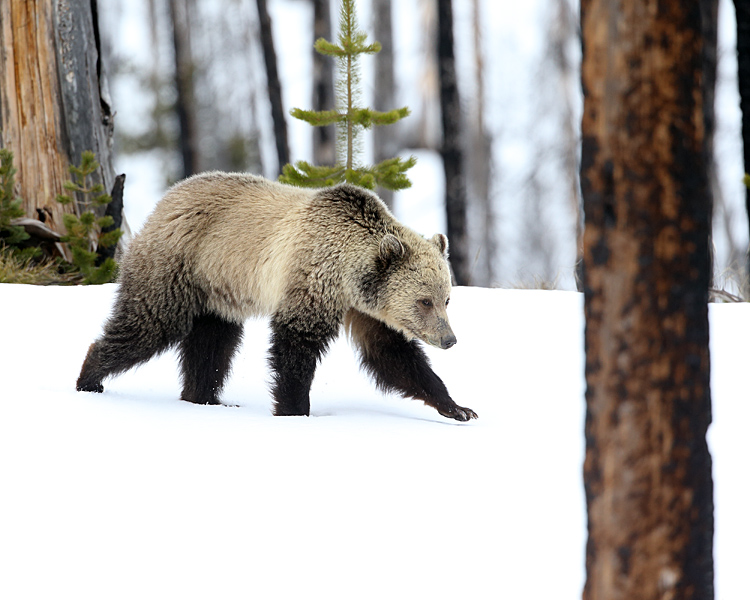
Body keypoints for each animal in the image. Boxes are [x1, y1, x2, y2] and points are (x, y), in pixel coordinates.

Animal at [76, 172, 476, 422]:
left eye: (446, 299)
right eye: (424, 300)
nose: (449, 339)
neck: (348, 274)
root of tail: (166, 199)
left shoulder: (363, 308)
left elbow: (393, 355)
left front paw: (458, 407)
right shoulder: (311, 280)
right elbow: (294, 348)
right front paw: (296, 410)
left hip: (217, 292)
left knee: (212, 346)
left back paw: (204, 397)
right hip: (178, 267)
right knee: (149, 323)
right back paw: (90, 377)